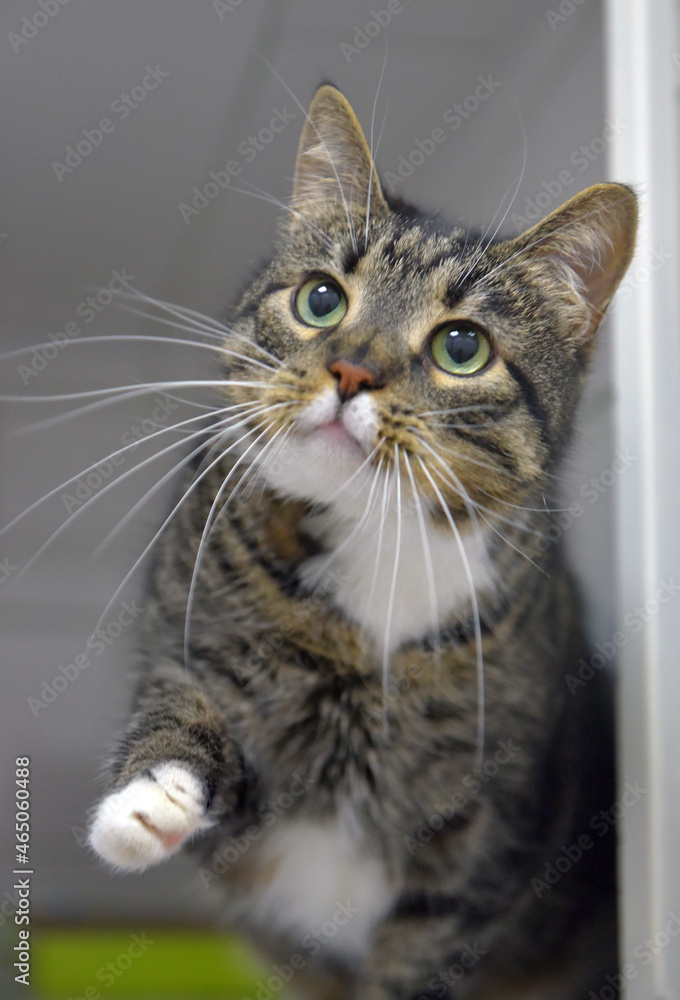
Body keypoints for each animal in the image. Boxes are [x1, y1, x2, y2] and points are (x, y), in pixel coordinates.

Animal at [86, 86, 636, 1000]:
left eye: (462, 346)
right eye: (321, 299)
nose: (350, 372)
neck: (375, 536)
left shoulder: (478, 829)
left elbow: (425, 943)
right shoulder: (198, 645)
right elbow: (183, 709)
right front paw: (151, 799)